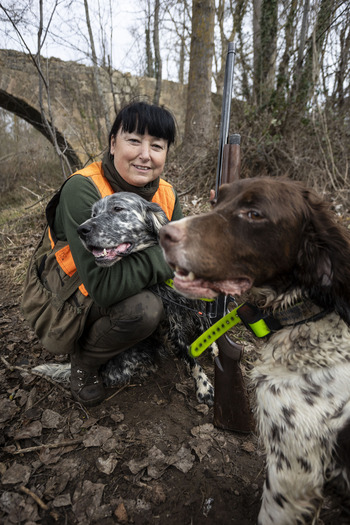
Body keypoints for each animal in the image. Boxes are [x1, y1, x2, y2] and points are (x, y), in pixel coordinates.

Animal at [35, 192, 215, 406]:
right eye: (93, 213)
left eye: (118, 209)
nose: (81, 230)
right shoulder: (171, 325)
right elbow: (190, 357)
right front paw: (203, 385)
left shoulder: (197, 303)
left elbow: (207, 327)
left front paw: (215, 348)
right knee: (106, 373)